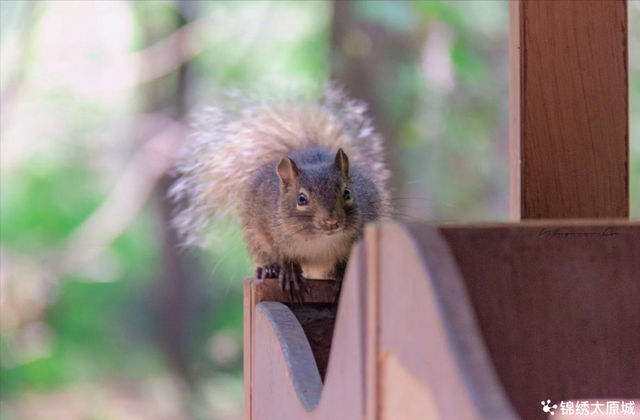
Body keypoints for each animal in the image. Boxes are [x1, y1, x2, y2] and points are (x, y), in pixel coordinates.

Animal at [170, 87, 390, 302]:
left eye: (347, 193)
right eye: (301, 199)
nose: (332, 222)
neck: (319, 241)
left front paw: (343, 277)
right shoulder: (268, 228)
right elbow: (283, 255)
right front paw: (290, 274)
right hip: (254, 238)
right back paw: (269, 270)